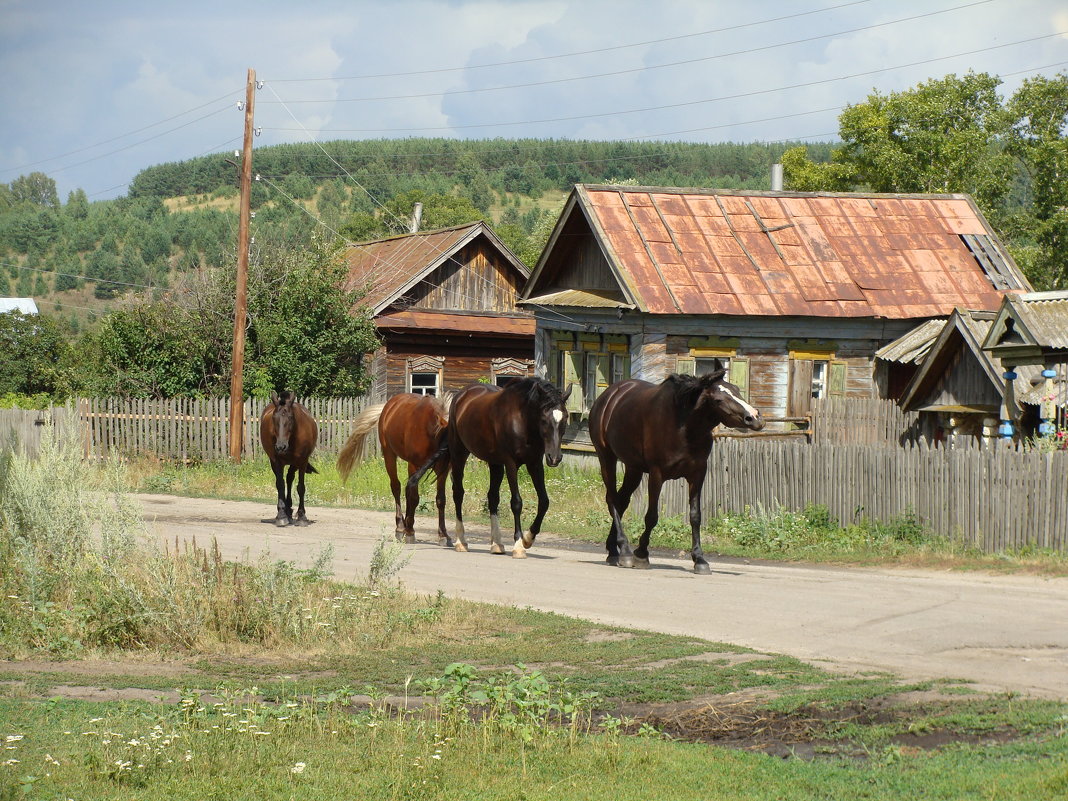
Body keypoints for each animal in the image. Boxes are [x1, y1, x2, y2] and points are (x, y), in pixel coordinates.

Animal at [258, 393, 316, 529]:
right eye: (274, 418)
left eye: (290, 418)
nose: (281, 447)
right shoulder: (277, 461)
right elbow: (280, 485)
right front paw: (281, 516)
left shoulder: (302, 461)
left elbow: (301, 487)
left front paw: (302, 517)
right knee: (284, 481)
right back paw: (285, 511)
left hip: (295, 464)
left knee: (290, 478)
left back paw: (289, 510)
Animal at [333, 393, 450, 546]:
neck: (431, 430)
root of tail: (388, 406)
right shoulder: (414, 465)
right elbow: (414, 497)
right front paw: (409, 531)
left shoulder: (443, 470)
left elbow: (440, 500)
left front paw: (443, 534)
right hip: (389, 455)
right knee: (396, 487)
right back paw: (400, 527)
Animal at [412, 378, 572, 559]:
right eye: (544, 418)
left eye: (565, 417)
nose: (554, 458)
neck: (522, 420)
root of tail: (461, 396)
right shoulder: (511, 464)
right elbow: (516, 502)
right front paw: (519, 545)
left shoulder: (534, 463)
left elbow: (544, 501)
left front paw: (528, 538)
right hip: (459, 453)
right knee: (458, 493)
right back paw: (461, 541)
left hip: (495, 464)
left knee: (492, 497)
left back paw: (497, 544)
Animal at [589, 363, 764, 576]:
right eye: (718, 399)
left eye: (737, 390)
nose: (754, 418)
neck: (683, 427)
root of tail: (608, 396)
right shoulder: (656, 474)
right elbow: (652, 516)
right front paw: (641, 554)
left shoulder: (697, 474)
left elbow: (695, 516)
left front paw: (699, 559)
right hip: (606, 457)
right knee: (612, 499)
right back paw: (625, 550)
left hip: (633, 468)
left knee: (622, 501)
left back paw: (614, 550)